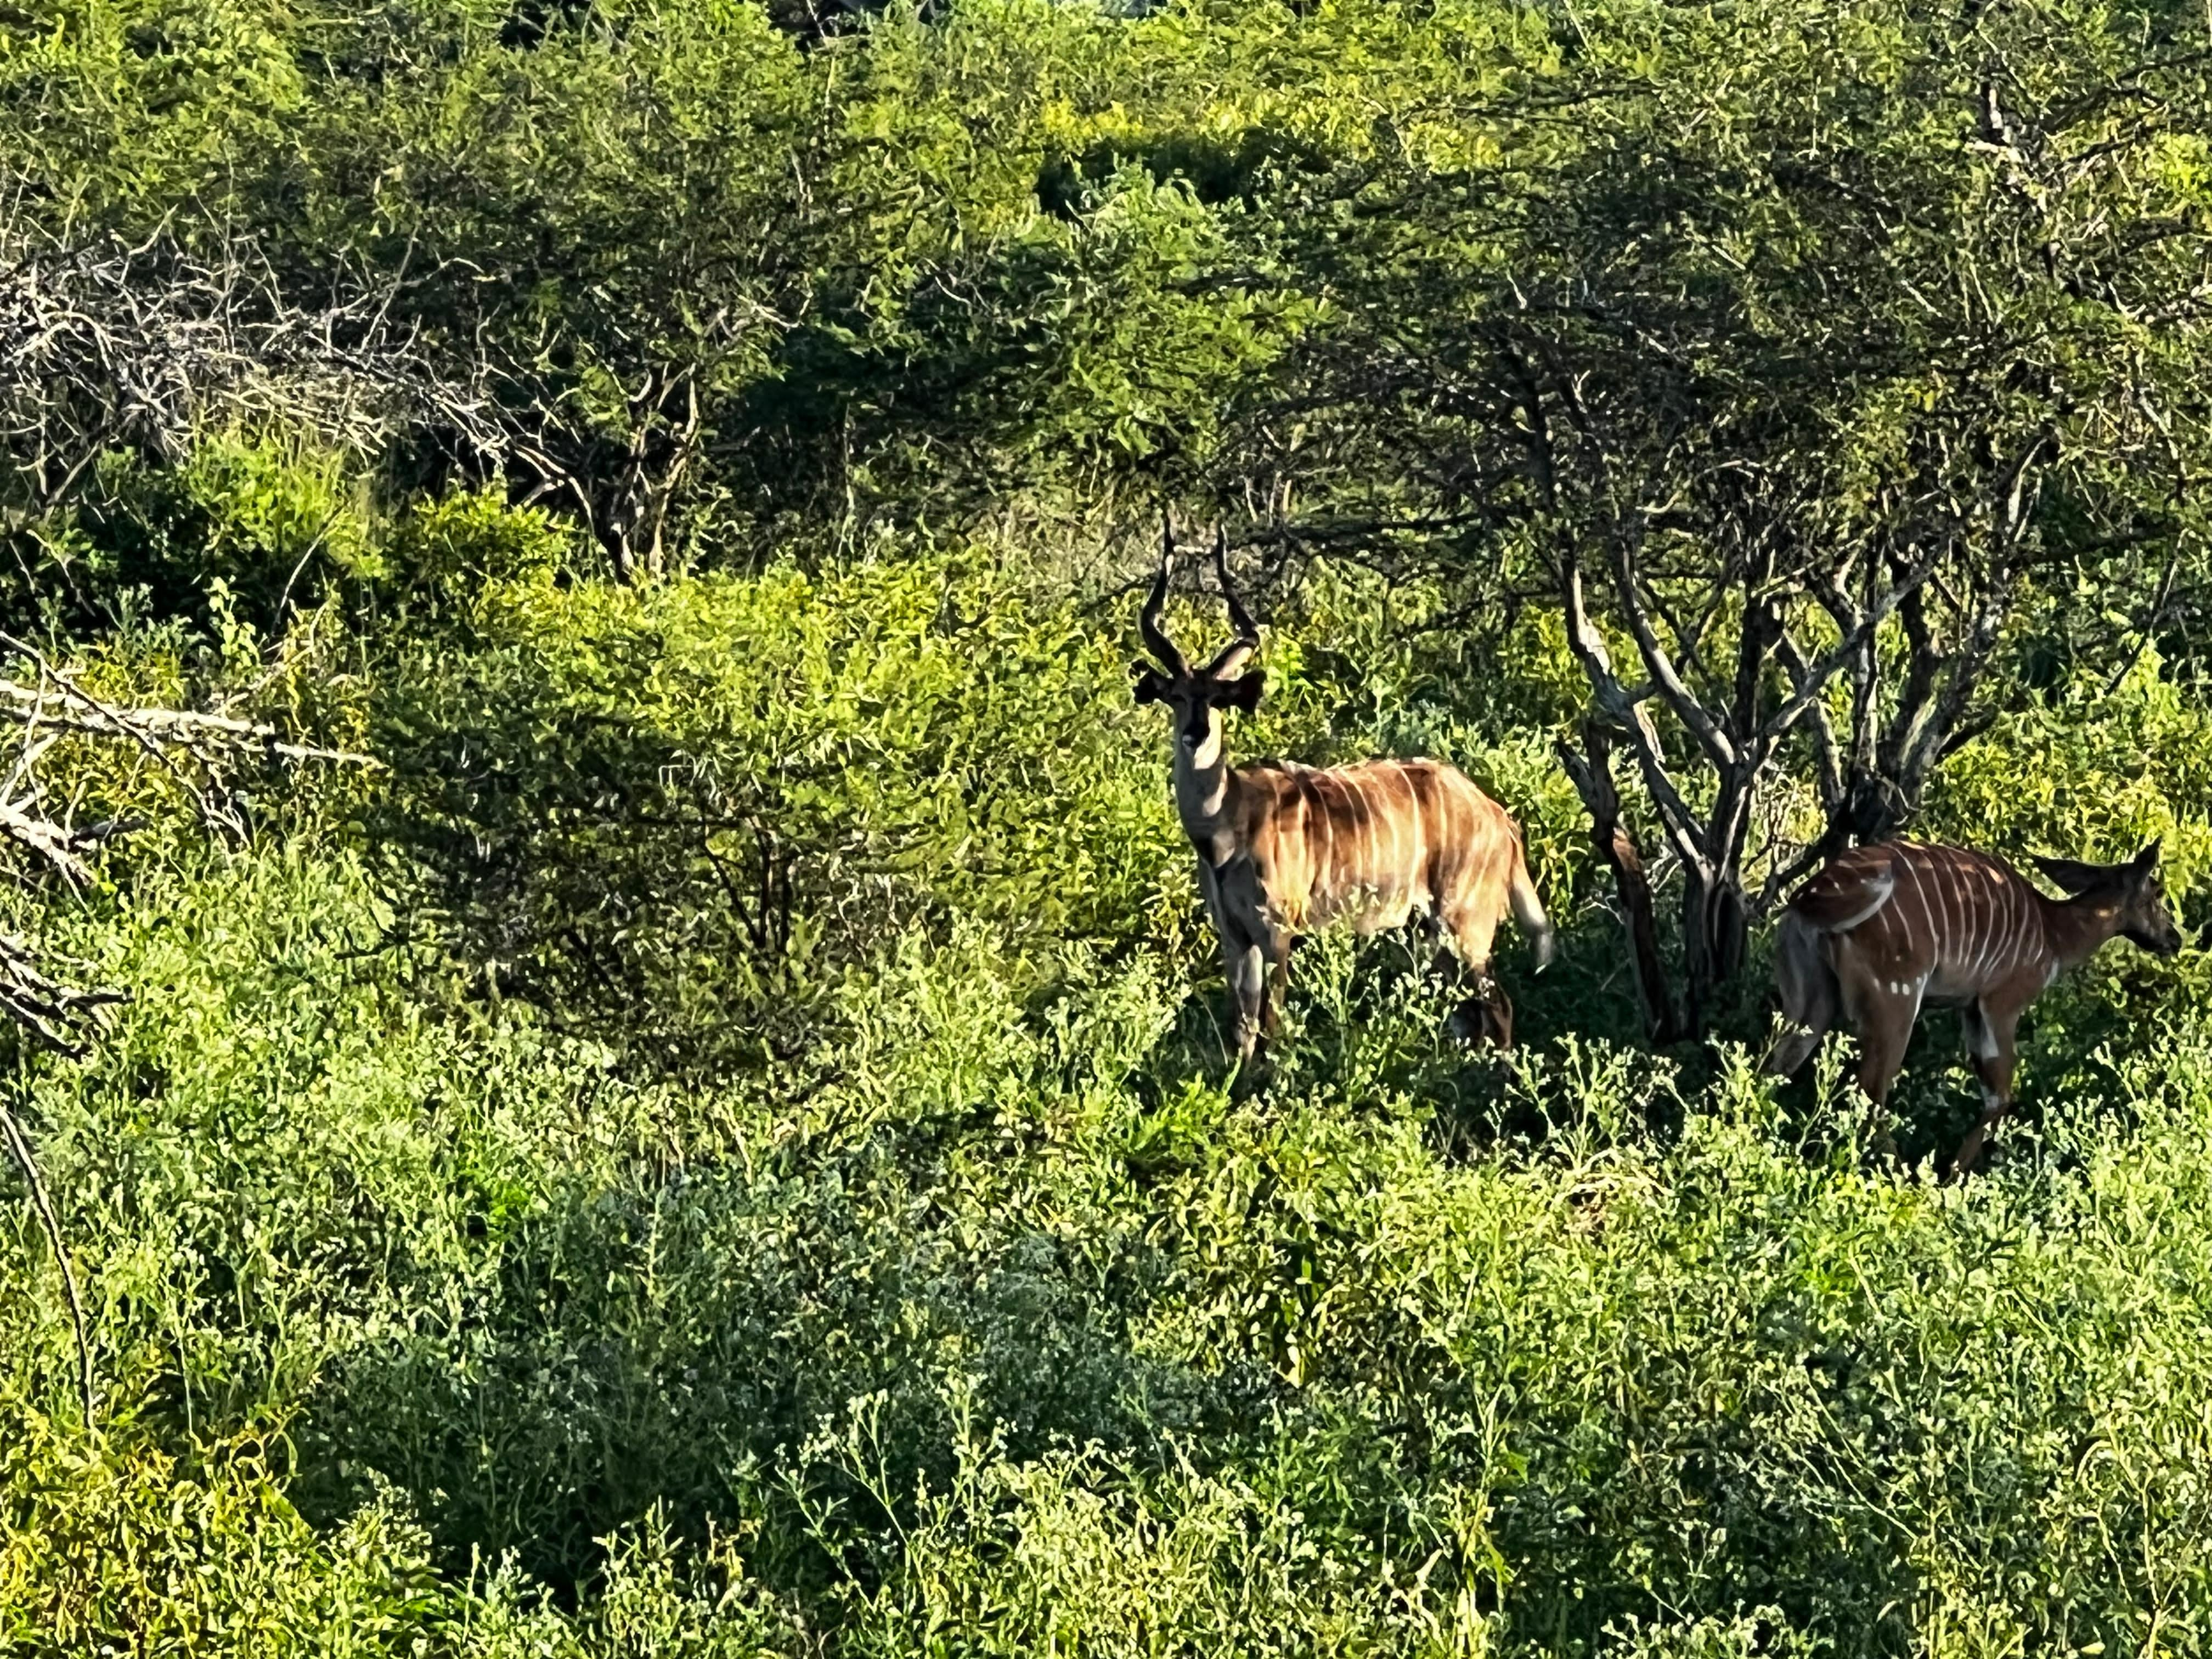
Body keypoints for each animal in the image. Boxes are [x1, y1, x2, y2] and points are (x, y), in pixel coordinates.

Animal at [1132, 520, 1548, 1066]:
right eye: (1177, 696)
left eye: (1220, 699)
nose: (1196, 734)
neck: (1227, 826)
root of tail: (1500, 818)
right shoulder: (1235, 938)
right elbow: (1243, 1029)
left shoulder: (1279, 931)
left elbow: (1273, 1025)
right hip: (1430, 931)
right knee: (1468, 1013)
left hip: (1465, 924)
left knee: (1497, 1006)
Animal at [1760, 836, 2176, 1177]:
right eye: (2157, 891)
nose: (2175, 937)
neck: (2054, 933)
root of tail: (1810, 896)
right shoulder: (2000, 1003)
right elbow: (2000, 1094)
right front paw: (1953, 1177)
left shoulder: (1970, 1008)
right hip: (1896, 999)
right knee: (1870, 1088)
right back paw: (1902, 1175)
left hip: (1811, 1000)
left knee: (1778, 1064)